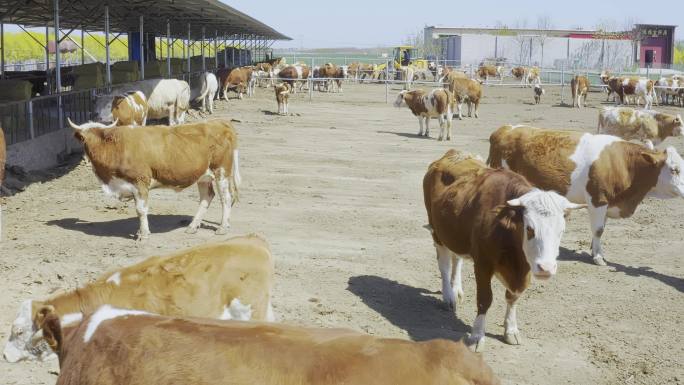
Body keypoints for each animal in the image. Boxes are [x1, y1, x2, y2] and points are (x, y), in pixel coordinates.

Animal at [67, 118, 242, 238]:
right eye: (83, 137)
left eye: (102, 136)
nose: (90, 151)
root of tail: (220, 122)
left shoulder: (140, 181)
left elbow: (141, 210)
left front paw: (143, 234)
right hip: (203, 176)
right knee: (207, 197)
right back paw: (193, 226)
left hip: (221, 171)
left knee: (226, 198)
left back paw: (222, 227)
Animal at [422, 150, 584, 352]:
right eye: (530, 229)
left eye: (561, 231)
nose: (546, 269)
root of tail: (454, 154)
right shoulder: (483, 263)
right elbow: (485, 299)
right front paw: (477, 336)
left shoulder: (524, 269)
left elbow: (513, 297)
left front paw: (511, 330)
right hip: (438, 233)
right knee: (443, 264)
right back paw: (448, 296)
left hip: (456, 235)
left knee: (456, 259)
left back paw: (456, 289)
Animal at [488, 124, 684, 266]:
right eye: (674, 169)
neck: (624, 164)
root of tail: (505, 129)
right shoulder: (597, 200)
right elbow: (598, 229)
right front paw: (598, 257)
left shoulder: (607, 203)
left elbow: (601, 228)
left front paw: (594, 250)